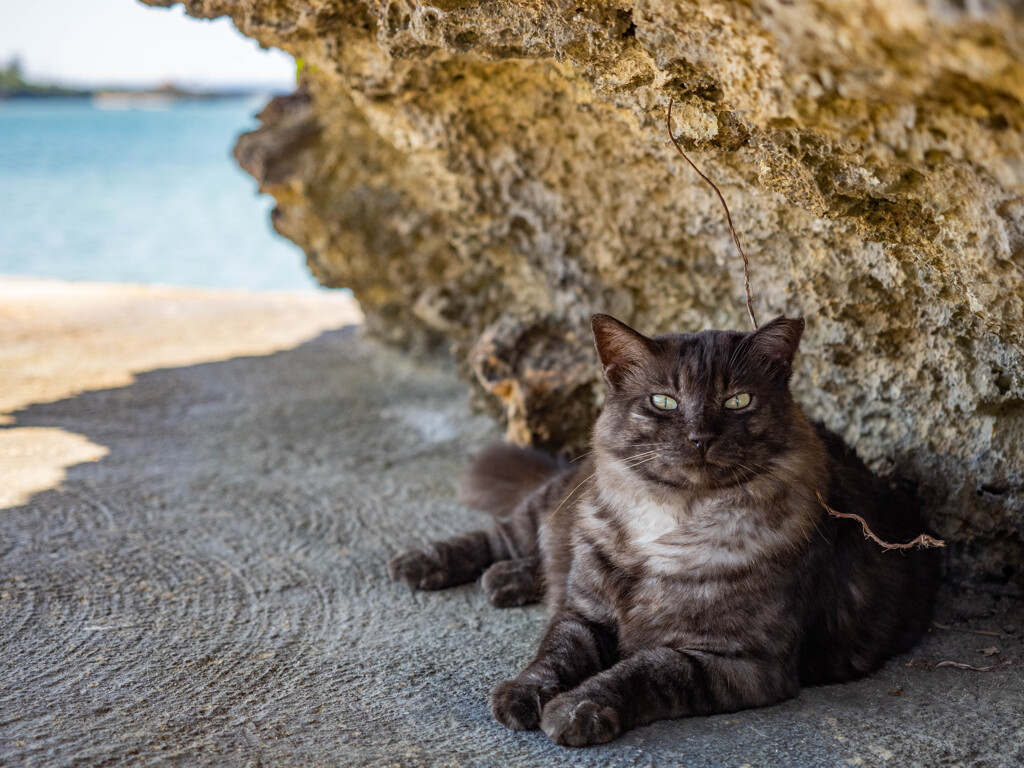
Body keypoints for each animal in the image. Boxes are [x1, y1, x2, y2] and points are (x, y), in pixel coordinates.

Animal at [387, 313, 937, 745]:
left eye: (738, 401)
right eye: (664, 401)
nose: (699, 437)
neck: (675, 516)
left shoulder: (740, 661)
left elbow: (645, 671)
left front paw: (577, 709)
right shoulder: (586, 613)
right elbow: (555, 651)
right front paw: (522, 694)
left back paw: (506, 580)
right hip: (554, 505)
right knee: (508, 534)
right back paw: (424, 564)